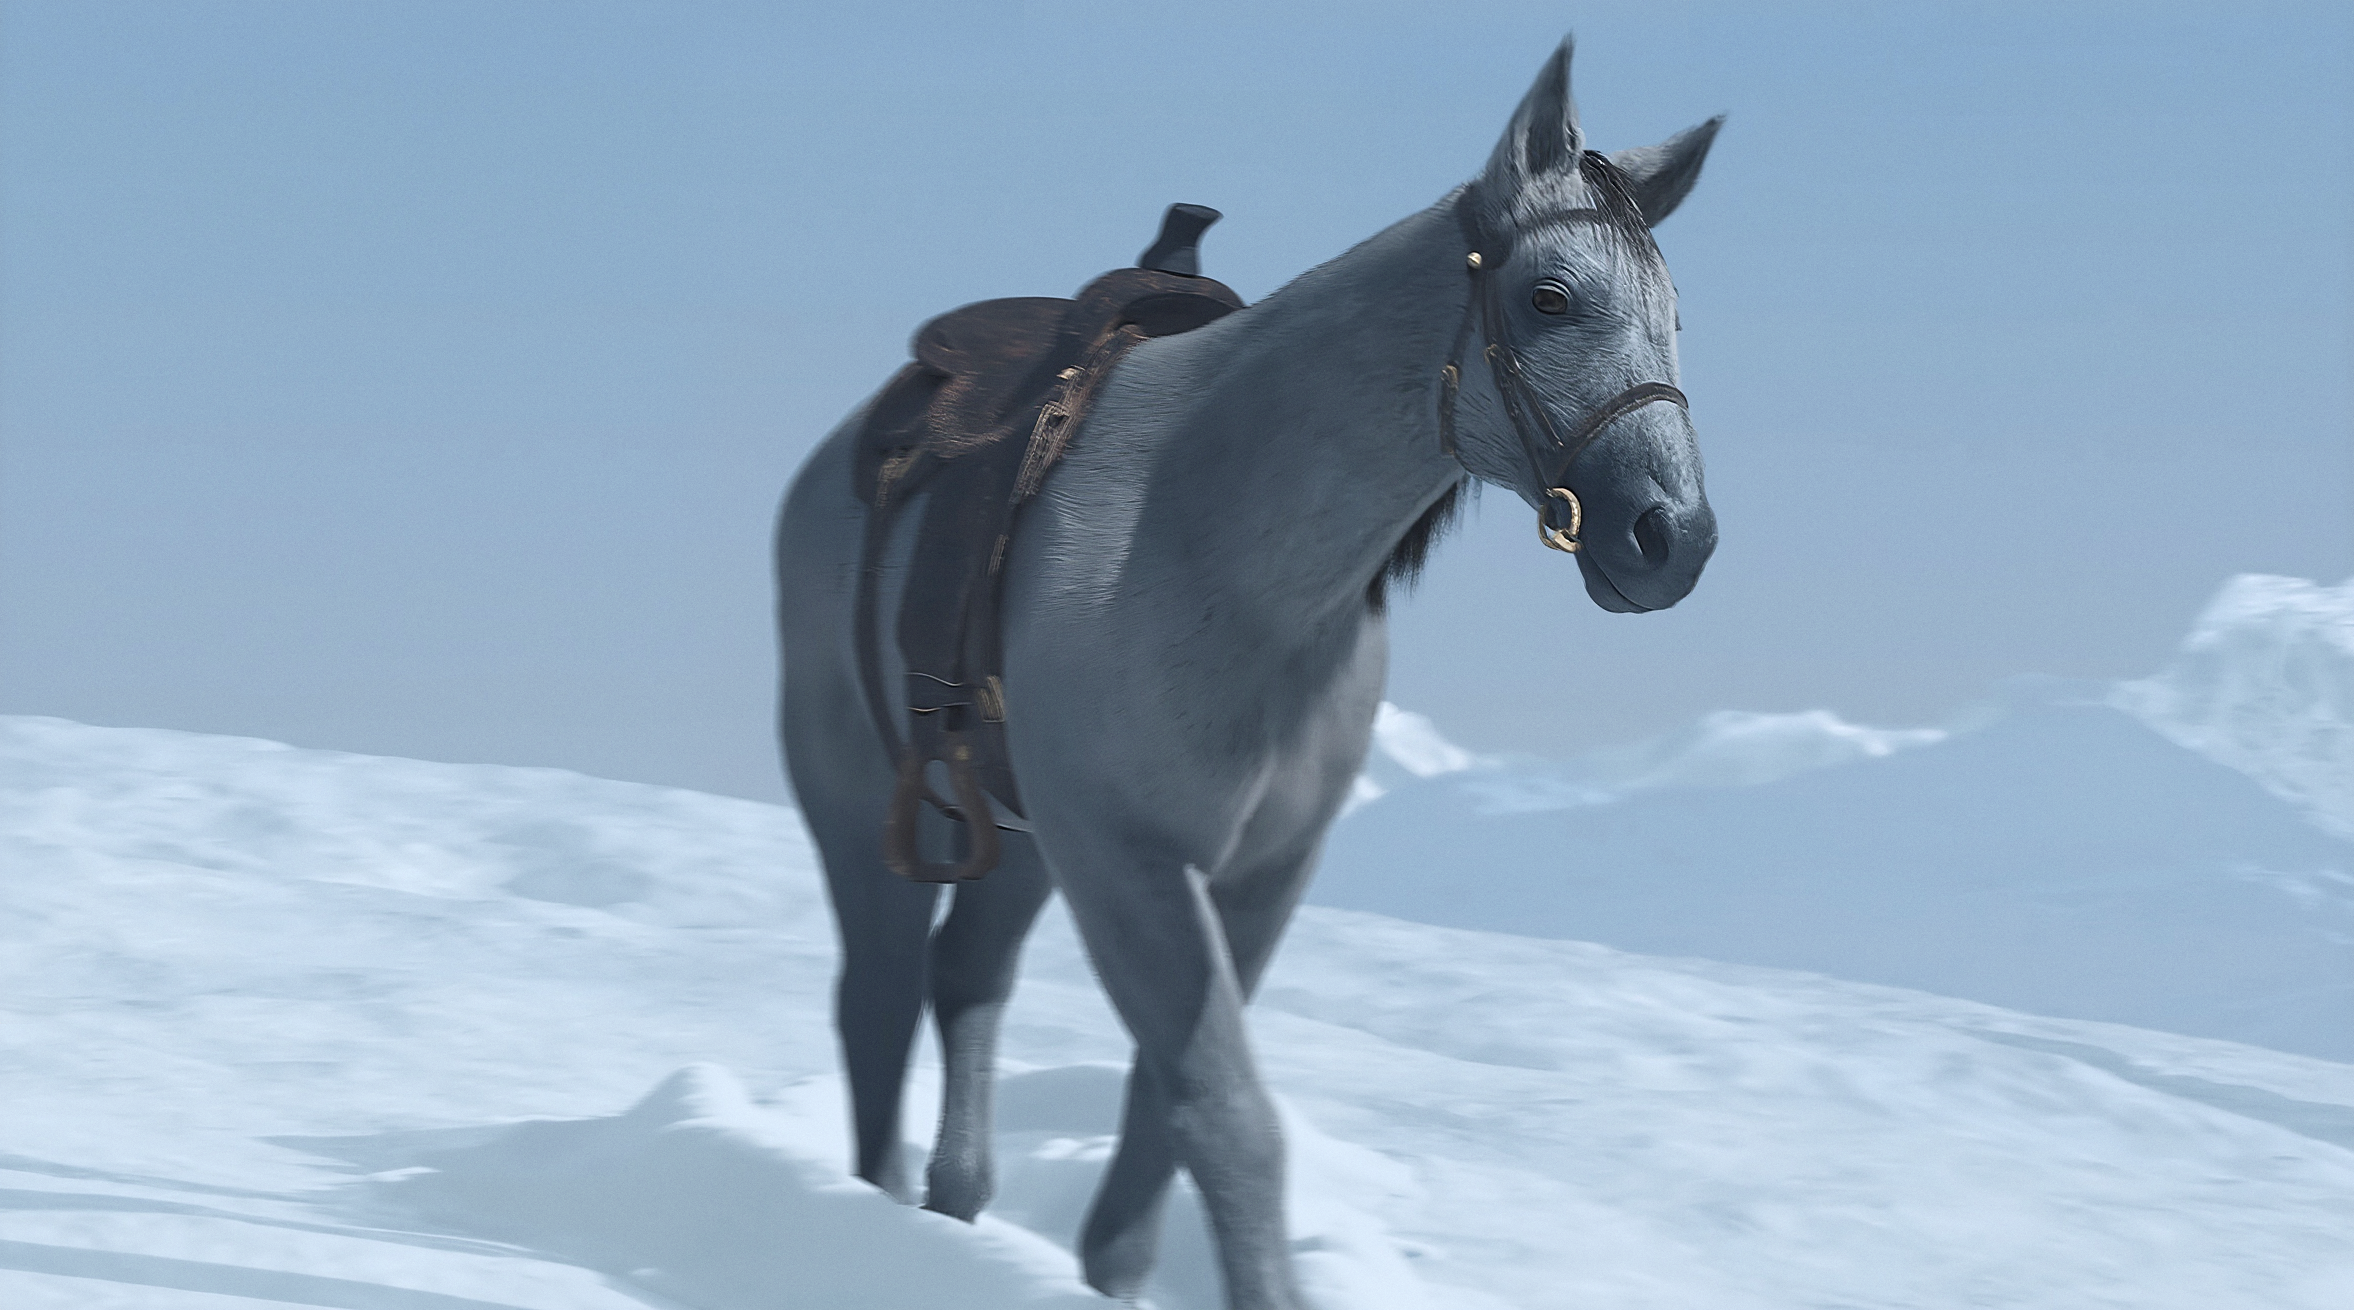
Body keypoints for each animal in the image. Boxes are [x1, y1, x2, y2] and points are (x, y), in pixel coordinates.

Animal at [775, 38, 1721, 1310]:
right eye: (1549, 297)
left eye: (1673, 316)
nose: (1672, 540)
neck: (1219, 540)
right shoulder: (1133, 862)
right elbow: (1228, 1118)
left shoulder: (1255, 873)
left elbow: (1162, 1109)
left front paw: (1114, 1267)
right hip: (871, 810)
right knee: (875, 995)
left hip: (1024, 839)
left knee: (962, 974)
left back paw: (956, 1198)